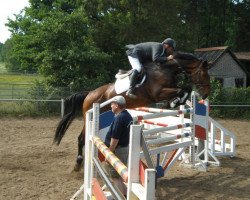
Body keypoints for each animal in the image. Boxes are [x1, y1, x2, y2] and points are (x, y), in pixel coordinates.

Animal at [53, 52, 210, 171]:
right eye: (203, 74)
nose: (206, 95)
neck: (166, 70)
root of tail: (89, 94)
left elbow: (185, 89)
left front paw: (175, 102)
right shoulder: (158, 93)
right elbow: (182, 90)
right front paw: (173, 102)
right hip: (90, 117)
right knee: (81, 138)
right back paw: (78, 164)